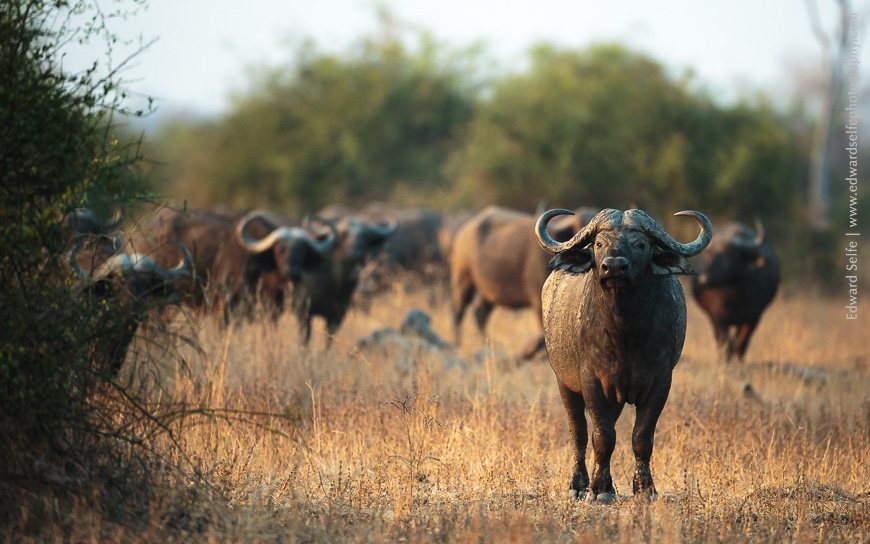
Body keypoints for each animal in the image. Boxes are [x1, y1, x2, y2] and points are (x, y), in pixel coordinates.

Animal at [449, 205, 598, 358]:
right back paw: (457, 342)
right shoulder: (538, 300)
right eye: (578, 227)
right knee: (458, 309)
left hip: (489, 292)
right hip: (463, 279)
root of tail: (462, 235)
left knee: (480, 313)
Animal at [536, 207, 712, 503]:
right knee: (579, 432)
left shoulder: (661, 383)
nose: (615, 266)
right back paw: (578, 485)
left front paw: (645, 489)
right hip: (564, 383)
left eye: (641, 244)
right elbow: (603, 437)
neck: (624, 334)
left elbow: (641, 438)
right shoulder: (591, 382)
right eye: (598, 243)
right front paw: (599, 490)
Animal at [691, 221, 779, 361]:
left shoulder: (753, 317)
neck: (735, 297)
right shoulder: (718, 315)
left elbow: (742, 342)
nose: (704, 279)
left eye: (730, 255)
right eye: (708, 255)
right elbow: (726, 341)